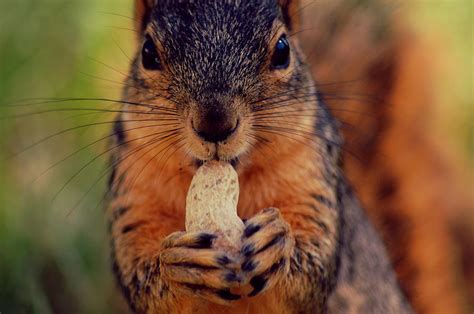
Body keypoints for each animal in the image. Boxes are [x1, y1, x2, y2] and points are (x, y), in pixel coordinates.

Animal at [105, 1, 412, 312]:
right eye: (148, 53)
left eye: (283, 50)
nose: (215, 124)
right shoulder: (135, 194)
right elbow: (144, 284)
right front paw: (179, 264)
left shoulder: (311, 173)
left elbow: (311, 273)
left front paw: (276, 244)